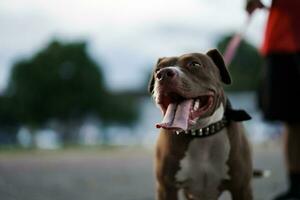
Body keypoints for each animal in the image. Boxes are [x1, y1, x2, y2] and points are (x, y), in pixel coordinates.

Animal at [148, 48, 253, 200]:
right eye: (157, 70)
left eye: (194, 64)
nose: (163, 74)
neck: (202, 133)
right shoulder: (166, 188)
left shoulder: (241, 188)